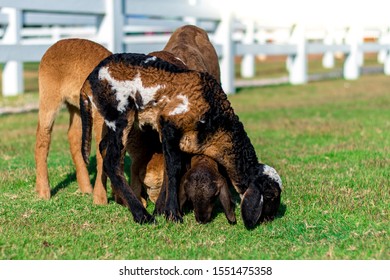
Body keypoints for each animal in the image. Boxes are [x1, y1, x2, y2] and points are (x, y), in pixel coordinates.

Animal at [35, 39, 111, 200]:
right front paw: (100, 199)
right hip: (48, 97)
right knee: (43, 136)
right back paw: (43, 192)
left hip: (77, 107)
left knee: (73, 136)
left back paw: (86, 188)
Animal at [80, 52, 282, 228]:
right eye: (270, 196)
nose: (270, 220)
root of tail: (89, 79)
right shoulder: (169, 126)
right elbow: (173, 169)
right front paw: (173, 214)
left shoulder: (183, 143)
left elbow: (171, 170)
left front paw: (162, 210)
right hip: (119, 113)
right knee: (112, 162)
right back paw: (142, 215)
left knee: (103, 147)